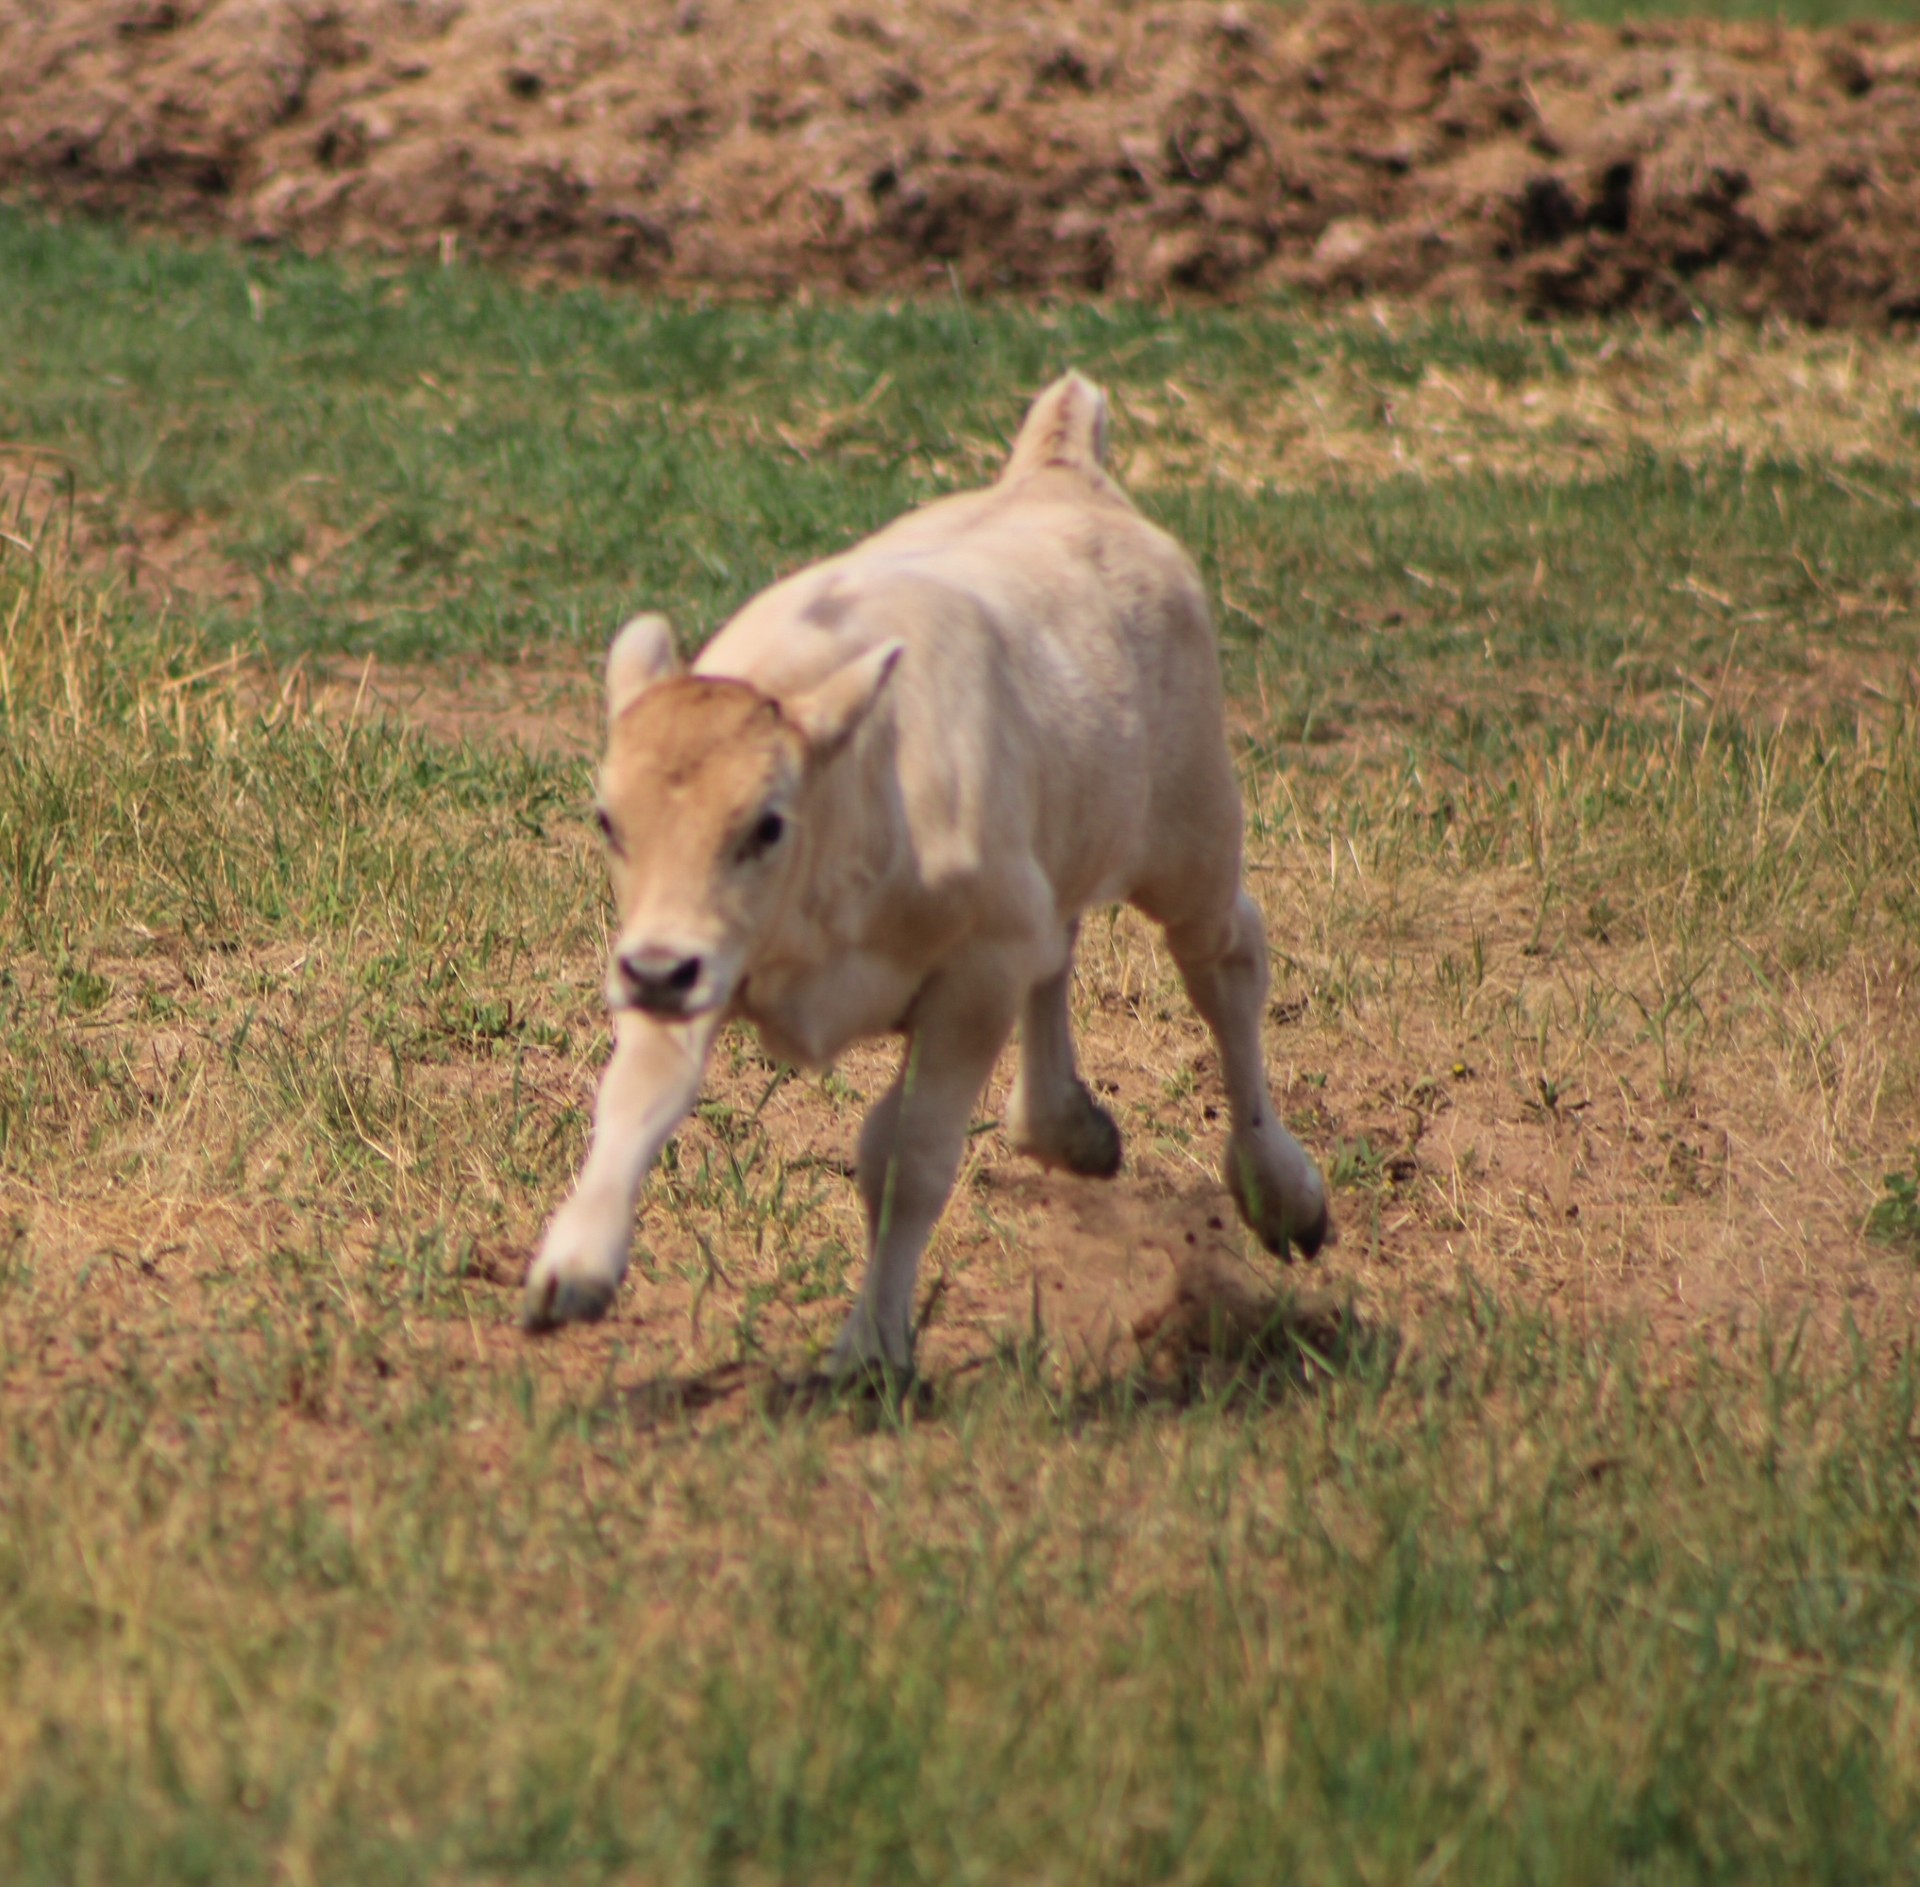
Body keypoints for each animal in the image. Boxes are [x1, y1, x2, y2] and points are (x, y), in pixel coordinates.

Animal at [521, 371, 1329, 1374]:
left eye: (767, 824)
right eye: (609, 820)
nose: (657, 973)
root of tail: (1058, 470)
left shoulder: (974, 972)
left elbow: (909, 1157)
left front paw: (872, 1342)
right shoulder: (695, 949)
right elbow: (638, 1094)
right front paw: (575, 1261)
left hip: (1192, 836)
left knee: (1226, 962)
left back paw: (1278, 1189)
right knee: (1063, 943)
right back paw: (1066, 1123)